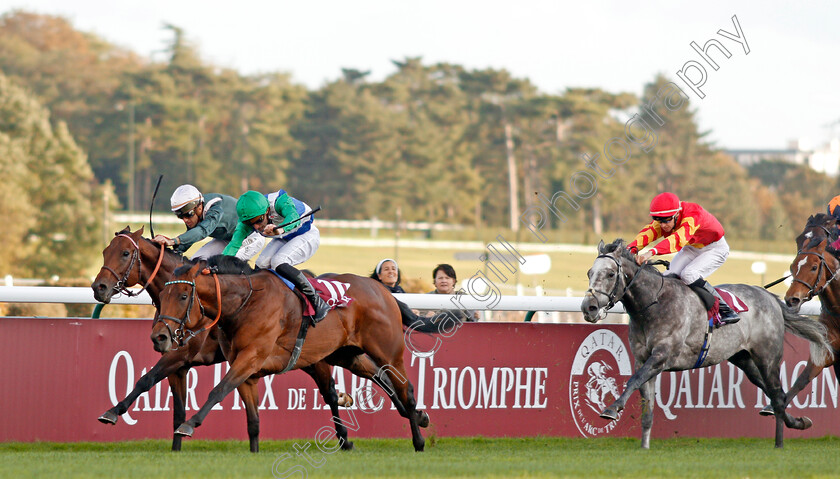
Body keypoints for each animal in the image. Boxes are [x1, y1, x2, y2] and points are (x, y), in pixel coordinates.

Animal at [91, 229, 354, 454]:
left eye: (125, 253)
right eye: (105, 251)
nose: (98, 287)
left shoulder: (181, 354)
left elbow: (147, 379)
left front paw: (113, 412)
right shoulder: (178, 364)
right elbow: (167, 402)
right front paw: (174, 448)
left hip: (313, 358)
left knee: (330, 393)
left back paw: (344, 438)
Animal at [151, 256, 430, 452]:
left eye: (183, 296)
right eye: (161, 295)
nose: (159, 337)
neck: (244, 303)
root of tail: (383, 290)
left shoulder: (250, 358)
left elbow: (218, 390)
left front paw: (188, 426)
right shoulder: (245, 370)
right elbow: (253, 420)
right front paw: (254, 453)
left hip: (388, 353)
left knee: (406, 389)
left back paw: (418, 440)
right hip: (345, 353)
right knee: (380, 378)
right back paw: (417, 417)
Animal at [580, 240, 832, 450]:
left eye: (610, 273)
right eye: (589, 273)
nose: (588, 307)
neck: (654, 304)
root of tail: (769, 297)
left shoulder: (661, 357)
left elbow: (632, 380)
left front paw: (611, 409)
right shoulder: (643, 360)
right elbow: (646, 406)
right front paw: (644, 447)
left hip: (767, 357)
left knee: (778, 394)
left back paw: (781, 441)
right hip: (743, 359)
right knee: (773, 394)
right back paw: (796, 423)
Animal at [760, 216, 840, 418]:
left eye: (814, 267)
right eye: (793, 266)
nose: (792, 299)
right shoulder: (826, 350)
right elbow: (802, 379)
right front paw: (773, 407)